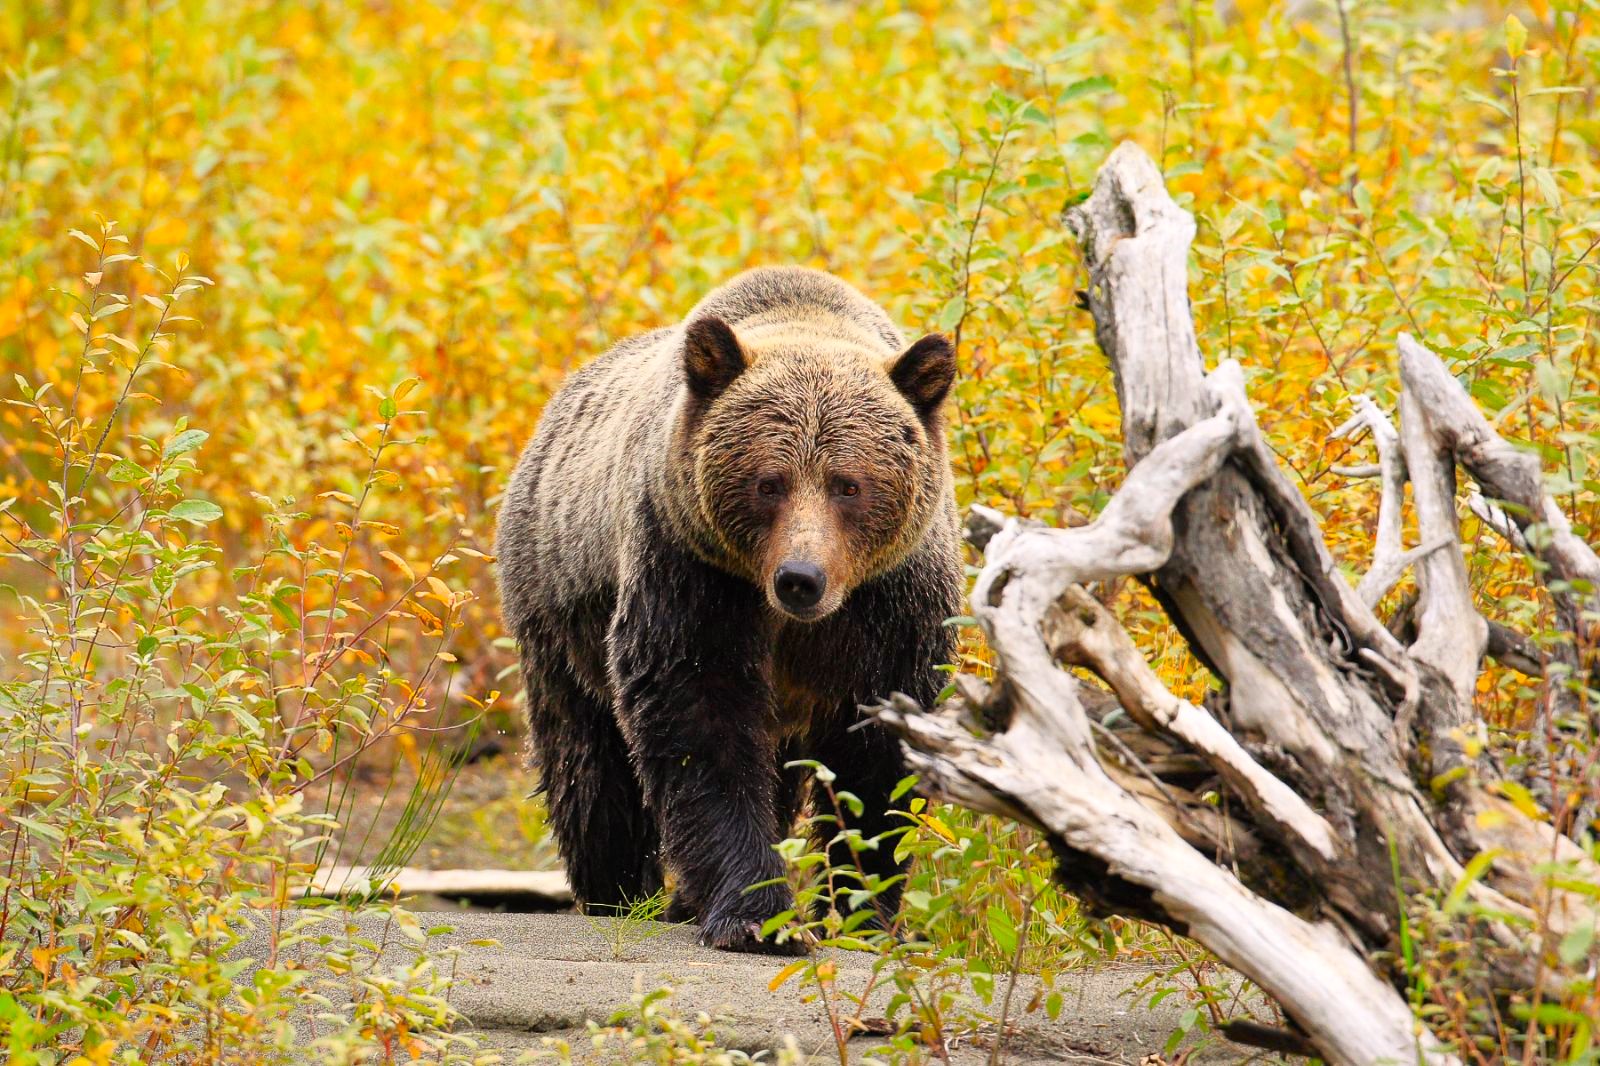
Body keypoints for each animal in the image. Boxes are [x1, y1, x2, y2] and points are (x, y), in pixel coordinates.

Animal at [494, 266, 963, 953]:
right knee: (587, 759)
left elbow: (878, 751)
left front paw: (862, 911)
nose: (801, 579)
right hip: (558, 610)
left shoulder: (890, 601)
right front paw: (755, 914)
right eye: (770, 482)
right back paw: (619, 890)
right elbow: (699, 718)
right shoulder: (692, 571)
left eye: (848, 484)